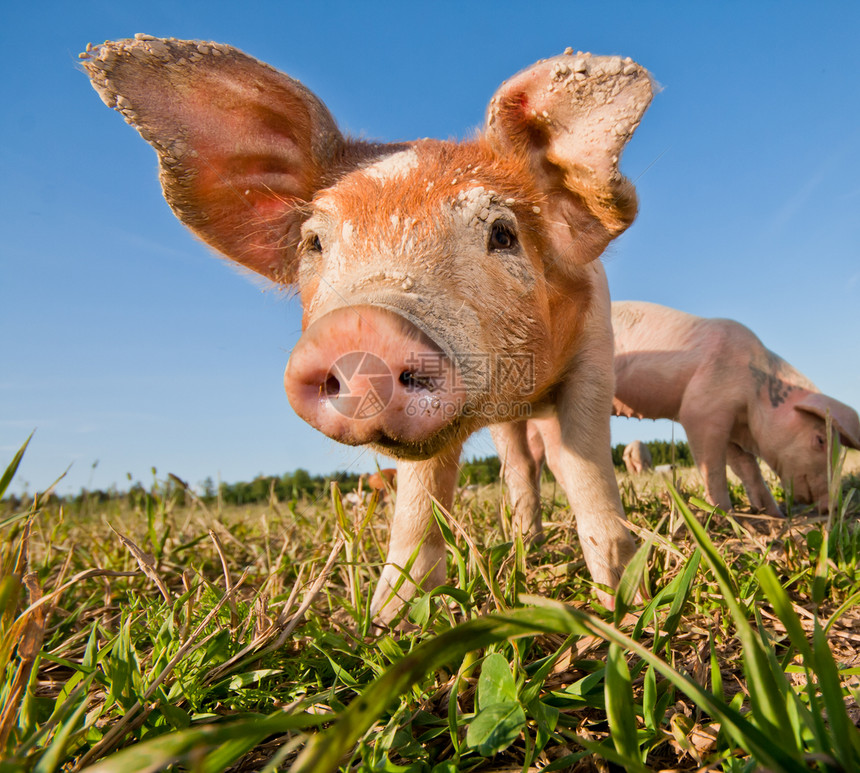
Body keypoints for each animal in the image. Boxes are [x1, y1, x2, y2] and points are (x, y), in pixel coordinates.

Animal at [84, 36, 656, 620]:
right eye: (313, 242)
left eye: (502, 233)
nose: (360, 328)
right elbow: (420, 500)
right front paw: (388, 621)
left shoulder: (594, 350)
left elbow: (586, 468)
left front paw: (625, 605)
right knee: (518, 464)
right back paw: (526, 540)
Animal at [612, 300, 860, 512]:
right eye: (820, 440)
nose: (831, 506)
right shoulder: (701, 409)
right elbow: (713, 469)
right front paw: (725, 513)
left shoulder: (732, 429)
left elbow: (748, 467)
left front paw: (773, 514)